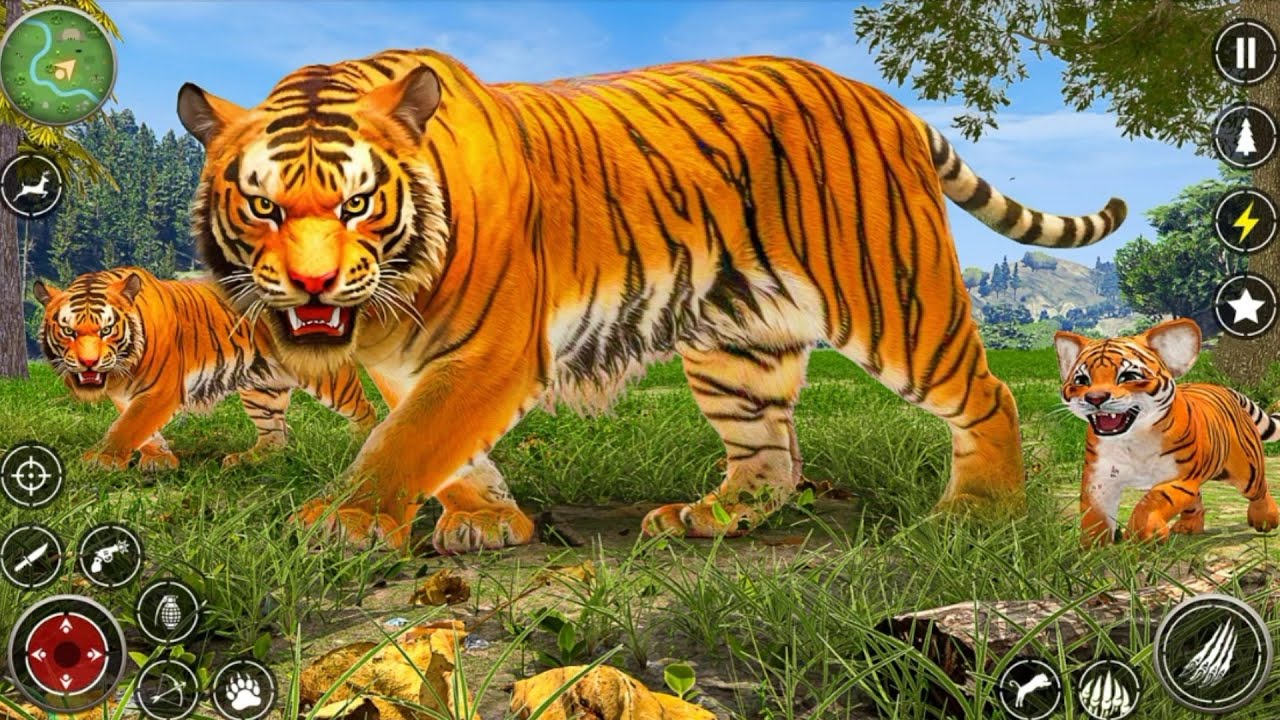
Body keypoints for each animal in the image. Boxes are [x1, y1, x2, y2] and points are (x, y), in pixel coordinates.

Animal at [34, 267, 377, 472]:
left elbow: (127, 427)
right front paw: (159, 459)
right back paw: (248, 460)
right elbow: (142, 430)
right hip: (262, 390)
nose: (88, 363)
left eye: (106, 330)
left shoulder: (160, 392)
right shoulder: (126, 394)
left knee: (366, 409)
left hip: (328, 380)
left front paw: (99, 460)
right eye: (68, 331)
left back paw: (359, 444)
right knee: (275, 435)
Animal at [175, 50, 1127, 554]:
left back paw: (979, 513)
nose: (310, 287)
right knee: (771, 456)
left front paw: (346, 518)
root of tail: (877, 95)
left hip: (895, 297)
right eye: (263, 207)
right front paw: (489, 520)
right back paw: (710, 517)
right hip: (738, 344)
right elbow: (444, 447)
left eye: (356, 203)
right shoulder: (408, 364)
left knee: (989, 393)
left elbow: (407, 441)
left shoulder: (490, 353)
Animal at [1054, 318, 1280, 546]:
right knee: (1195, 499)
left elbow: (1152, 500)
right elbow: (1094, 514)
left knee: (1259, 489)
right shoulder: (1099, 478)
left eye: (1128, 376)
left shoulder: (1180, 477)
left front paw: (1143, 535)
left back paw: (1265, 519)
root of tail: (1224, 388)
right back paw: (1188, 527)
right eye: (1081, 380)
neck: (1132, 439)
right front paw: (1093, 547)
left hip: (1246, 470)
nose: (1096, 398)